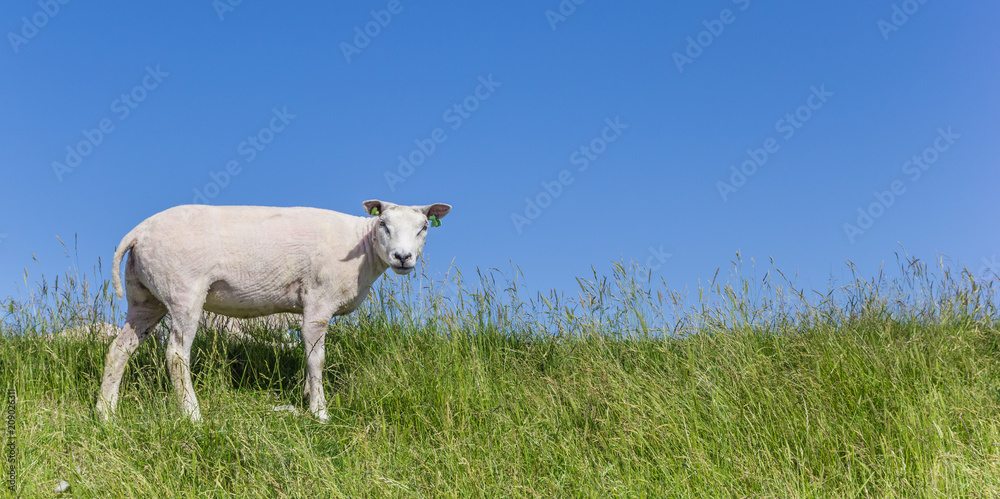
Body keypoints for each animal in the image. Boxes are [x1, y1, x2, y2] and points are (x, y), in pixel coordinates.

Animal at [96, 200, 451, 422]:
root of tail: (139, 231)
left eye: (424, 227)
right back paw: (192, 415)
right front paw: (320, 413)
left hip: (145, 298)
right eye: (383, 223)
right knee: (175, 354)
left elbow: (310, 357)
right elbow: (317, 359)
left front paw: (307, 396)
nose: (403, 257)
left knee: (119, 350)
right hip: (184, 290)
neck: (361, 245)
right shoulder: (318, 302)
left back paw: (106, 413)